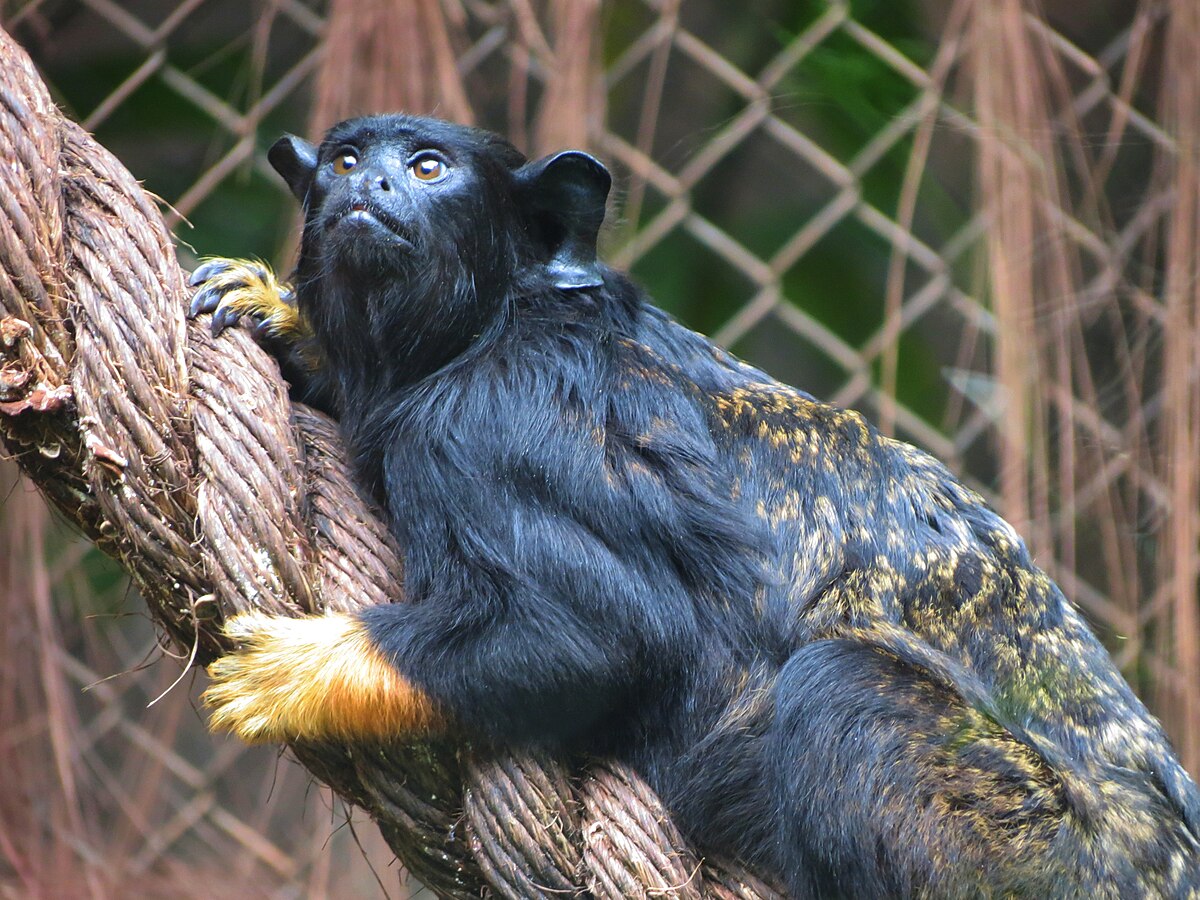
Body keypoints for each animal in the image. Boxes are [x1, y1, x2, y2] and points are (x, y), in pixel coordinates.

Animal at [192, 116, 1195, 897]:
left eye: (428, 168)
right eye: (346, 160)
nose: (374, 186)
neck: (496, 322)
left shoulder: (481, 432)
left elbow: (602, 636)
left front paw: (303, 674)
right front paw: (288, 324)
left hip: (1039, 859)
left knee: (842, 685)